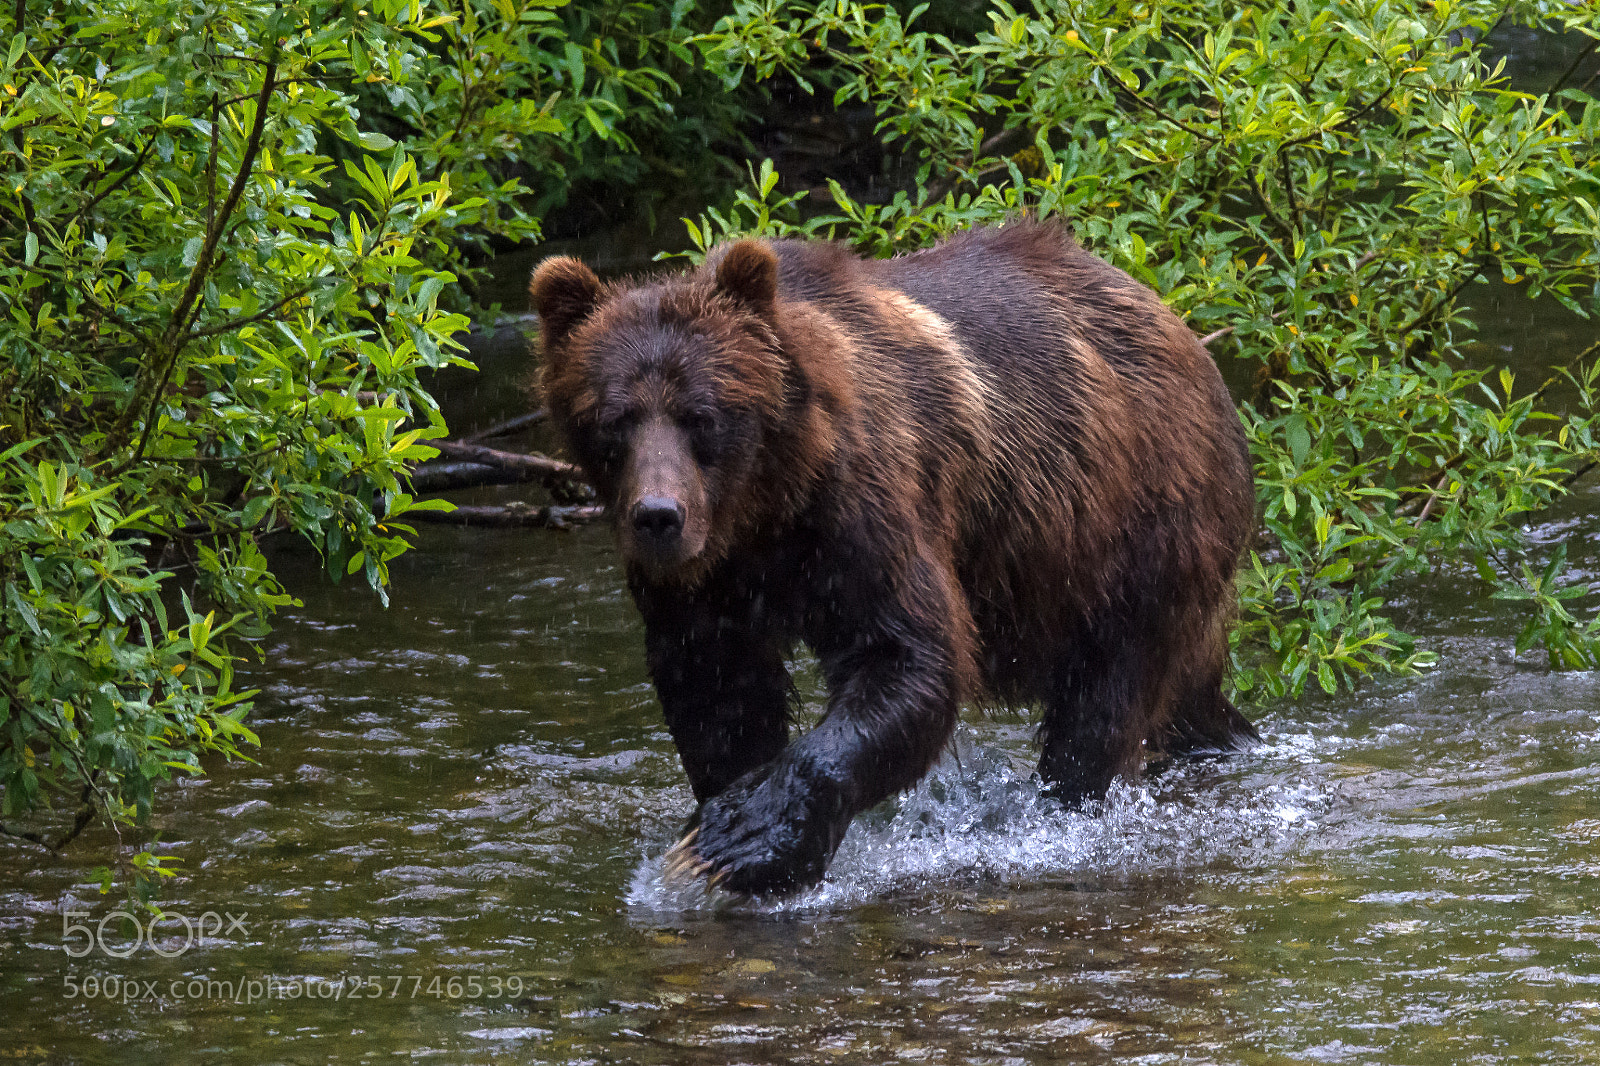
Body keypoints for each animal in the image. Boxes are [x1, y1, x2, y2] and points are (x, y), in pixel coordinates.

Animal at [530, 220, 1256, 895]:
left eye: (701, 415)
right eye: (613, 421)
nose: (658, 516)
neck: (770, 503)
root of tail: (1185, 333)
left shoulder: (866, 502)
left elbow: (911, 655)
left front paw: (742, 839)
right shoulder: (709, 579)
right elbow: (718, 688)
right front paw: (726, 810)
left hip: (1136, 526)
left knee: (1107, 698)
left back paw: (1071, 801)